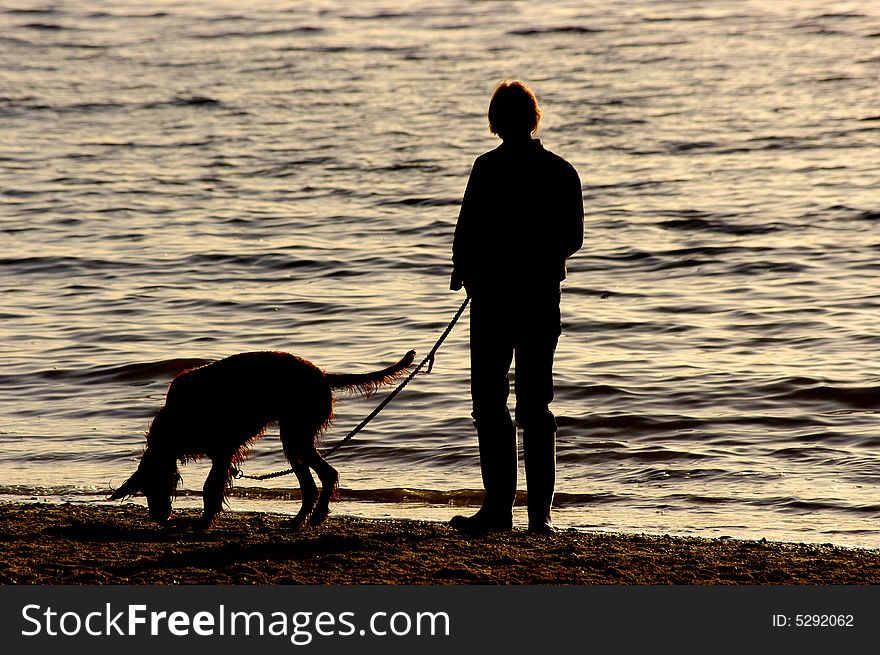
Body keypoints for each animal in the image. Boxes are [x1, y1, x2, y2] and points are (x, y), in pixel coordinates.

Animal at [111, 352, 416, 532]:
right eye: (145, 490)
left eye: (160, 486)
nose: (159, 517)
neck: (177, 418)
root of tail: (322, 375)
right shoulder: (223, 454)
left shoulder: (222, 452)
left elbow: (210, 488)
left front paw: (204, 522)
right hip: (294, 440)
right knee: (311, 484)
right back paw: (300, 520)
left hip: (295, 435)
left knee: (326, 475)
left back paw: (313, 517)